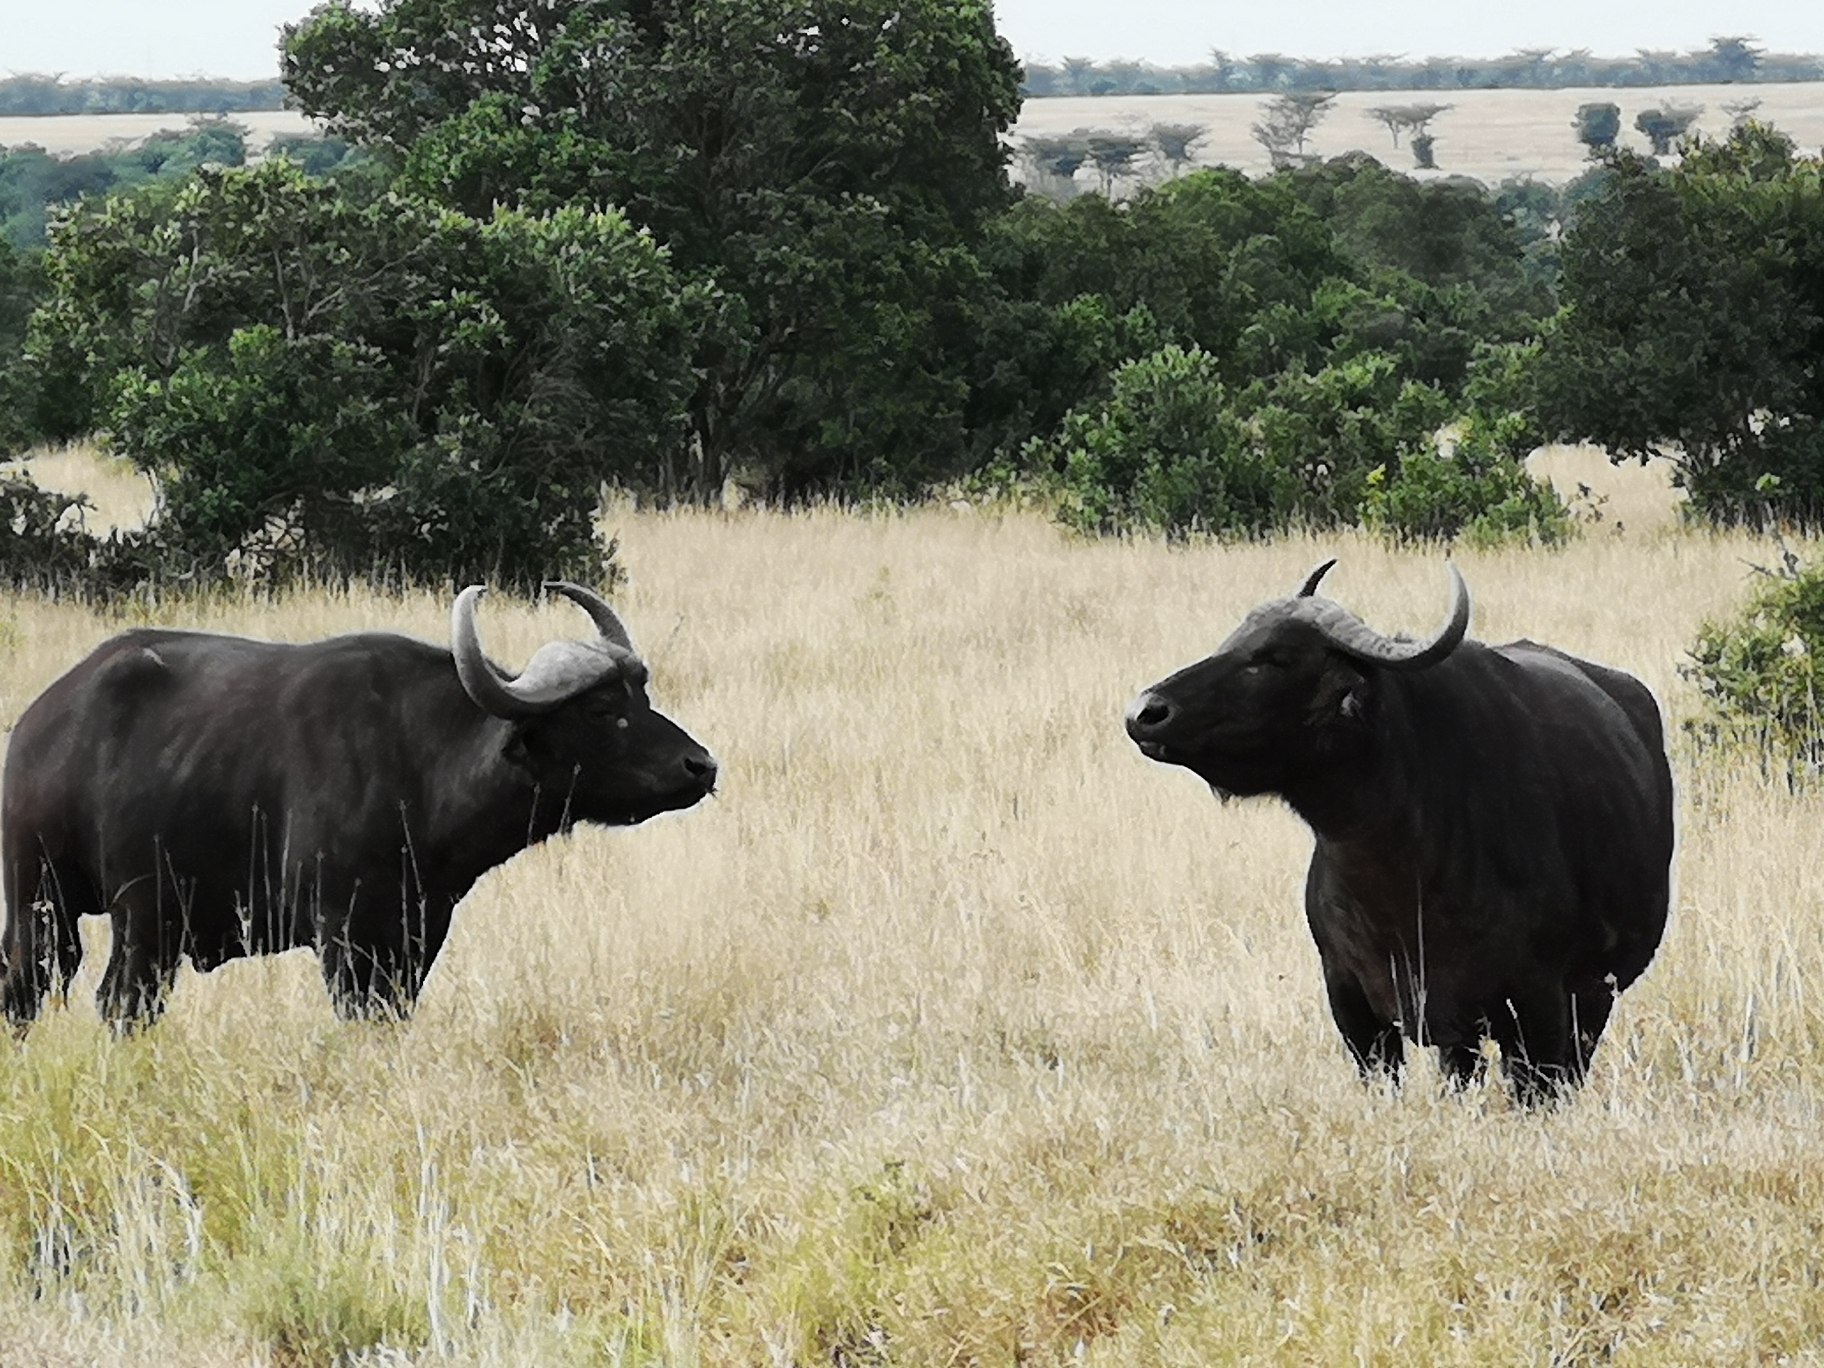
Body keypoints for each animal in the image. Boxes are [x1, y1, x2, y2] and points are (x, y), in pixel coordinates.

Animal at [3, 583, 715, 1036]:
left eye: (642, 693)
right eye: (601, 710)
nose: (701, 766)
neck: (420, 766)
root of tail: (40, 724)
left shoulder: (418, 932)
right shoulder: (343, 933)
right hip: (73, 909)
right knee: (68, 996)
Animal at [1130, 561, 1670, 1108]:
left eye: (1275, 658)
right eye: (1233, 640)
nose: (1145, 712)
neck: (1401, 878)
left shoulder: (1539, 1005)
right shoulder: (1354, 1004)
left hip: (1594, 998)